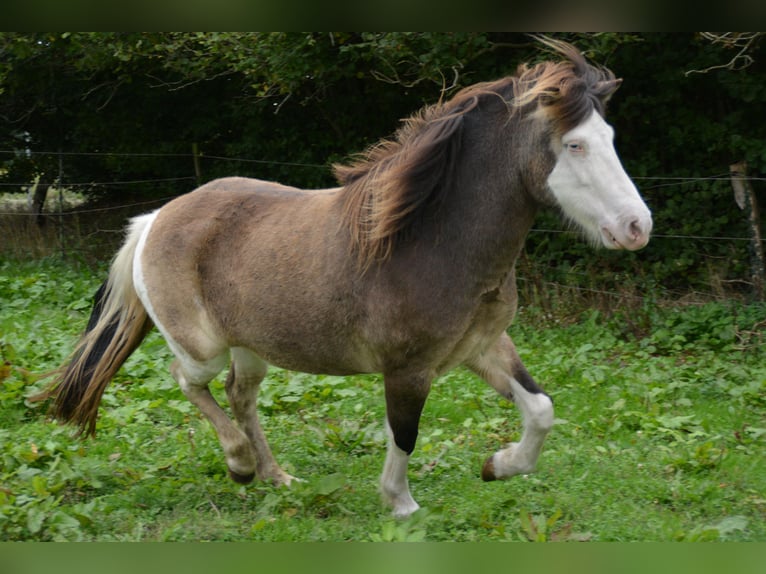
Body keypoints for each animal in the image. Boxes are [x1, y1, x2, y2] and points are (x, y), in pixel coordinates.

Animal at [36, 39, 652, 518]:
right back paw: (239, 464)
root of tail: (155, 217)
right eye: (574, 144)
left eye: (611, 138)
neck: (432, 240)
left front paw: (497, 466)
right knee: (189, 382)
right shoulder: (408, 368)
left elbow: (541, 410)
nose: (636, 226)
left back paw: (276, 476)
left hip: (252, 346)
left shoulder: (483, 347)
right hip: (202, 346)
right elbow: (404, 432)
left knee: (239, 394)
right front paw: (400, 503)